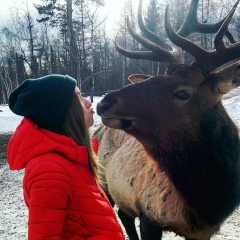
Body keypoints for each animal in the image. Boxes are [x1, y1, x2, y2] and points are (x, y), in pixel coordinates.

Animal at [93, 0, 240, 239]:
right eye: (158, 76)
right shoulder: (147, 212)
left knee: (124, 214)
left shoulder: (204, 232)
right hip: (104, 180)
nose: (103, 103)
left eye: (183, 93)